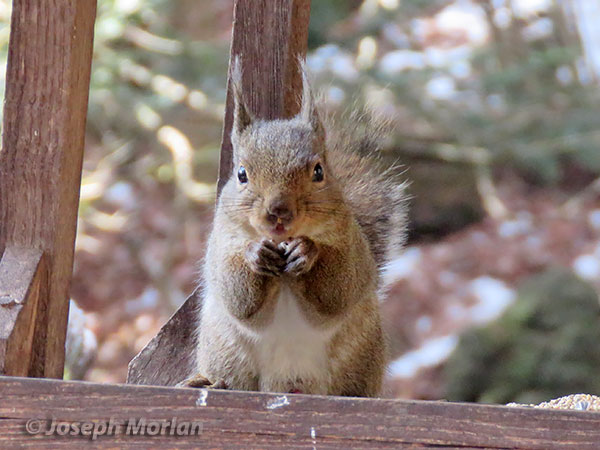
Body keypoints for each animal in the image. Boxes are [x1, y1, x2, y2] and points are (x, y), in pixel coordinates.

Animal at [179, 59, 408, 398]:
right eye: (241, 174)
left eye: (319, 171)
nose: (279, 212)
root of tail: (288, 385)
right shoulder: (221, 243)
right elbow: (239, 299)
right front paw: (256, 253)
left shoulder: (351, 245)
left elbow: (337, 292)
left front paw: (307, 250)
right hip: (227, 353)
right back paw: (209, 382)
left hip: (360, 355)